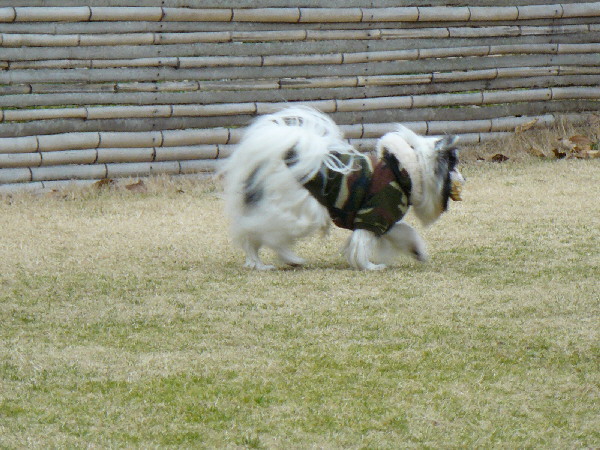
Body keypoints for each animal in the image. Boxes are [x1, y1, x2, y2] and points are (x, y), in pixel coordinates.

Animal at [221, 107, 464, 270]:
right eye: (454, 167)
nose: (465, 178)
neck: (403, 169)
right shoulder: (373, 215)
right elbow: (362, 244)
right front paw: (369, 267)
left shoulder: (384, 219)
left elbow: (406, 231)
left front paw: (417, 251)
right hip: (300, 213)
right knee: (268, 235)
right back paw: (291, 259)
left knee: (252, 236)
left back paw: (258, 264)